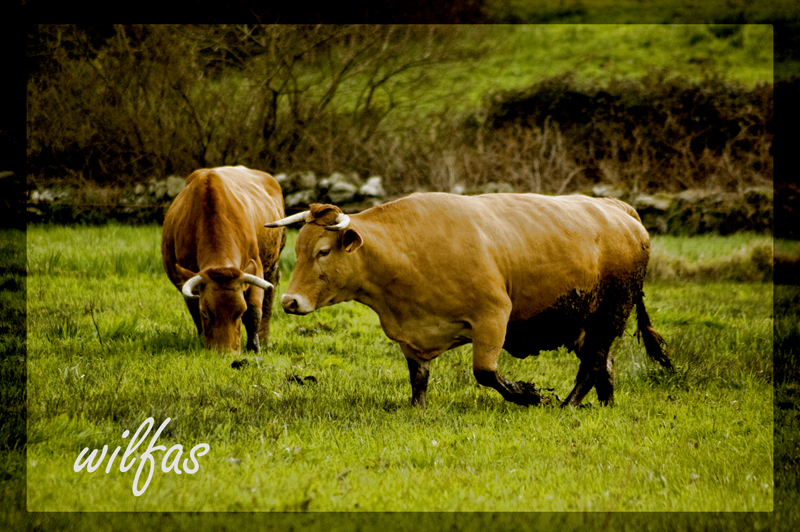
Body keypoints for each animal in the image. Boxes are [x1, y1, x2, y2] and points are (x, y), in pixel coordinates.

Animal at [162, 166, 288, 354]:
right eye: (205, 312)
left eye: (240, 311)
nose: (225, 352)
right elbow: (195, 313)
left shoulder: (256, 267)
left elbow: (254, 311)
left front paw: (254, 346)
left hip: (272, 264)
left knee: (268, 299)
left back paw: (264, 339)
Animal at [266, 194, 672, 408]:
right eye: (297, 251)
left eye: (322, 251)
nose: (289, 301)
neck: (408, 250)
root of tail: (617, 208)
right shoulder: (411, 336)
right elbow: (418, 377)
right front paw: (417, 408)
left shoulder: (492, 316)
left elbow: (485, 372)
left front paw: (526, 395)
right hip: (583, 322)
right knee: (604, 364)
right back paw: (604, 404)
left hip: (611, 312)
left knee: (593, 364)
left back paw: (568, 404)